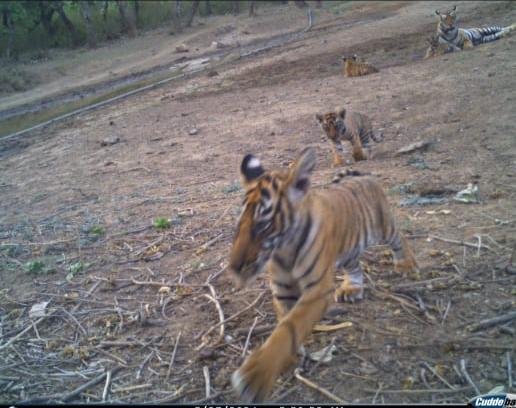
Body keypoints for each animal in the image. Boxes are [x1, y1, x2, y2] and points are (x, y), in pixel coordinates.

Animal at [228, 147, 418, 402]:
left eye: (263, 226)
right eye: (239, 226)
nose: (233, 267)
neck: (284, 249)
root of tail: (363, 176)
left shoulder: (317, 290)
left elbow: (291, 326)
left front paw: (256, 376)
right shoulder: (282, 290)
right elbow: (284, 323)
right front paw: (289, 357)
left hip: (385, 226)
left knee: (400, 238)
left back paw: (406, 264)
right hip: (349, 251)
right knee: (355, 268)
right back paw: (352, 289)